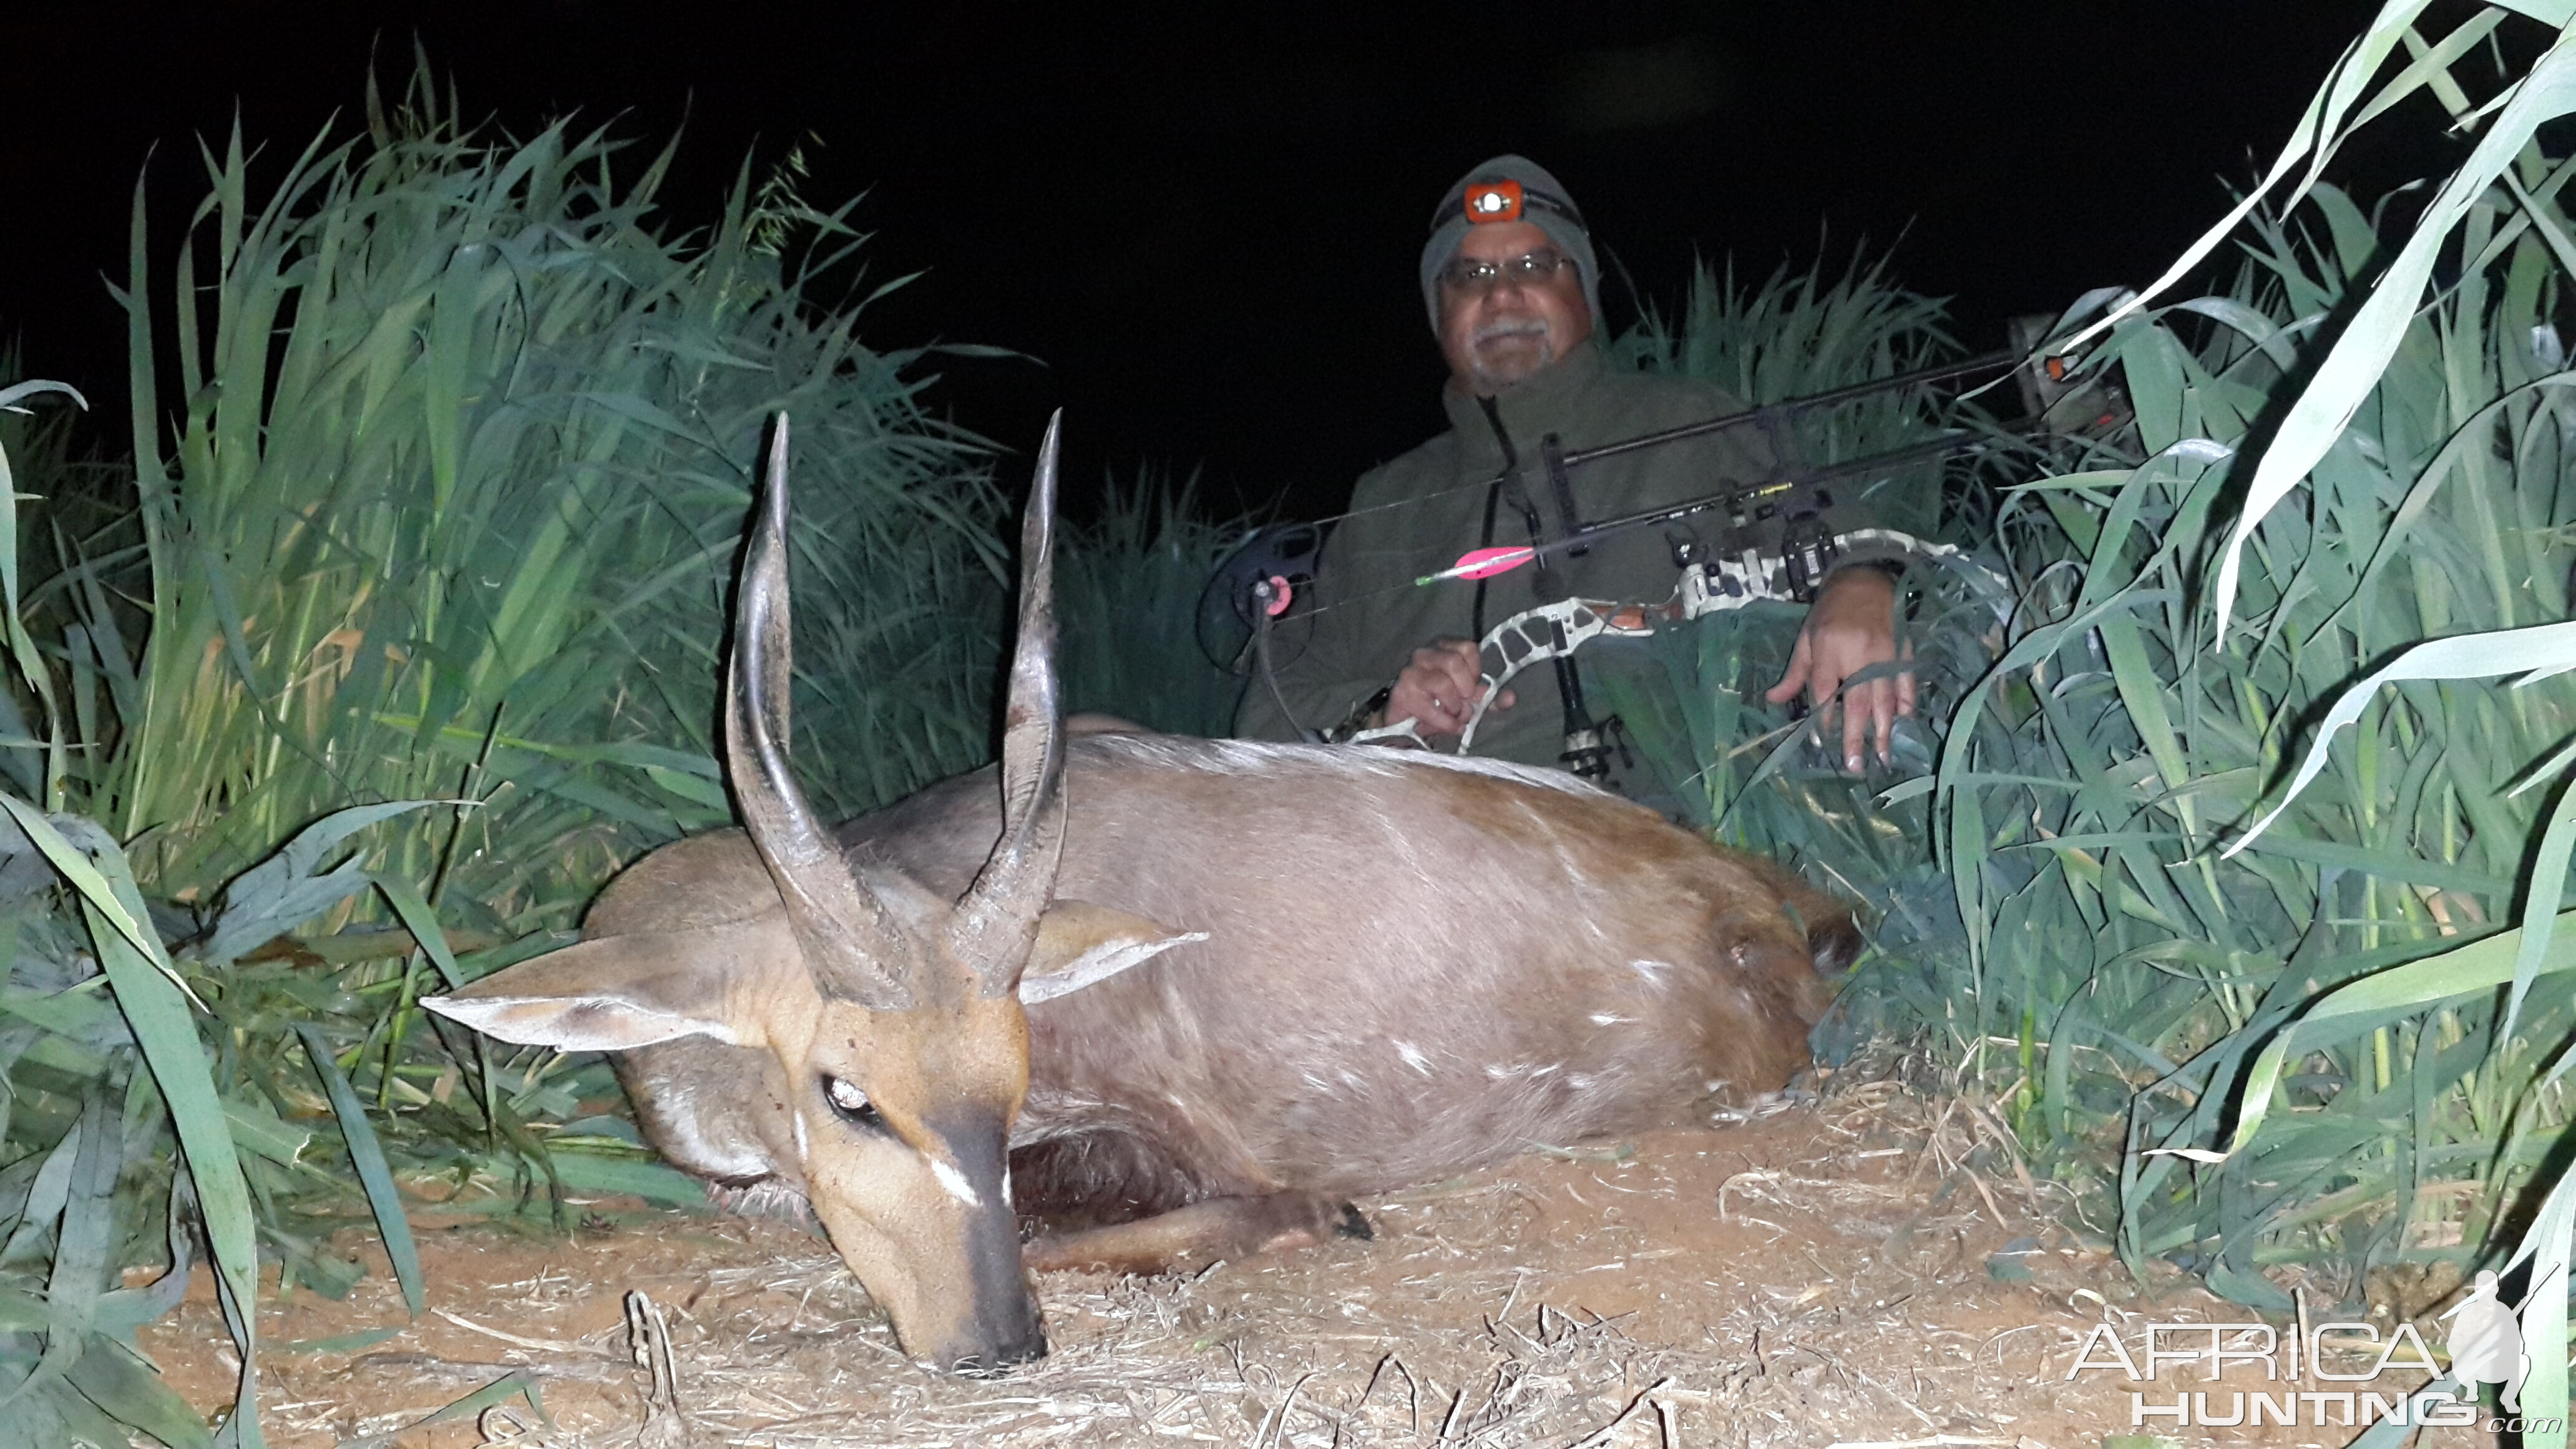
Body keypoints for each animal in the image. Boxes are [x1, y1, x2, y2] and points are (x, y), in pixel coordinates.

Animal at [432, 415, 1865, 1361]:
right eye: (847, 1094)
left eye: (1008, 1073)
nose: (997, 1344)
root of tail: (1795, 915)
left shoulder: (1167, 1132)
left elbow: (1124, 1212)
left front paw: (1321, 1214)